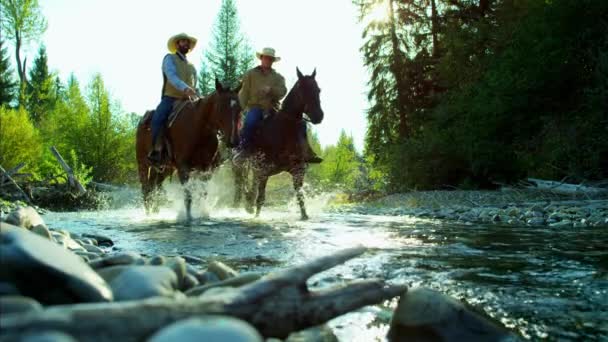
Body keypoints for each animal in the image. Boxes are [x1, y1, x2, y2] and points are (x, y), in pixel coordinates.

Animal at [137, 79, 241, 222]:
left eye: (239, 108)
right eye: (221, 107)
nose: (233, 141)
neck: (199, 128)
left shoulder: (206, 169)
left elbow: (203, 193)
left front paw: (202, 214)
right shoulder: (183, 167)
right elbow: (188, 195)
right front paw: (188, 217)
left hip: (164, 168)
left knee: (155, 187)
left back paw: (155, 212)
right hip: (142, 163)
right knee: (146, 189)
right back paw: (149, 215)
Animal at [233, 68, 326, 220]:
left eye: (318, 90)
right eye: (302, 89)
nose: (318, 116)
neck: (284, 129)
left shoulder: (298, 169)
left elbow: (300, 194)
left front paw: (304, 216)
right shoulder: (264, 169)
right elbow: (261, 198)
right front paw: (257, 217)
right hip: (239, 166)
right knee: (241, 182)